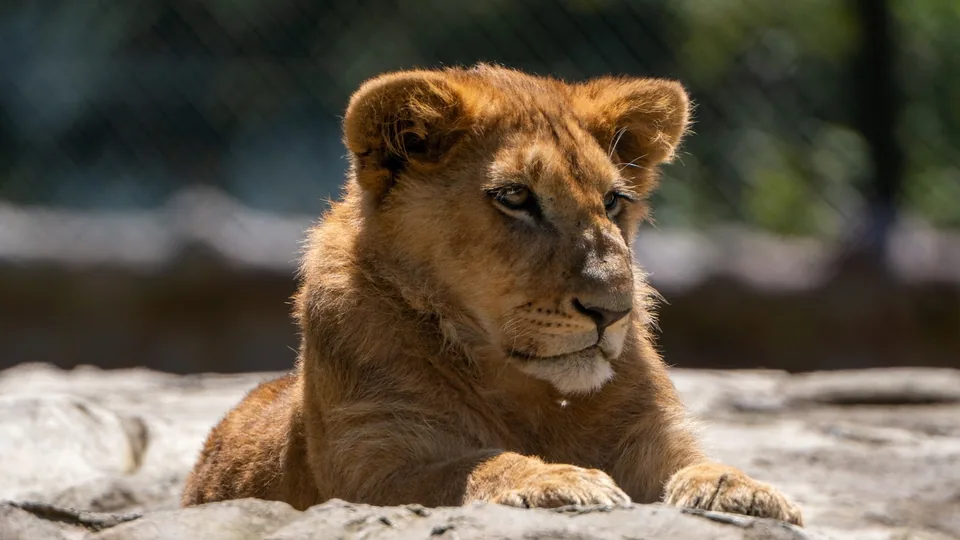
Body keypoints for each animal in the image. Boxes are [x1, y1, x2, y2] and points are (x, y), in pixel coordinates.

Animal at [182, 64, 803, 525]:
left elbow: (696, 463)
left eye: (612, 202)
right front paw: (558, 477)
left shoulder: (653, 437)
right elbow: (472, 464)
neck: (529, 390)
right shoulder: (368, 464)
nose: (613, 310)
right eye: (515, 197)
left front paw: (742, 488)